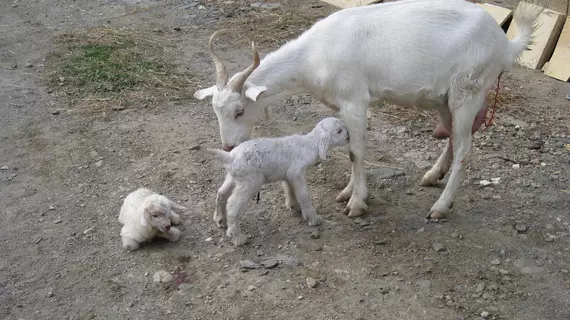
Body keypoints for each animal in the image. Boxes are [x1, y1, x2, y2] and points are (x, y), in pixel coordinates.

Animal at [194, 0, 540, 219]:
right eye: (215, 111)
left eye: (239, 111)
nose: (229, 146)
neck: (313, 56)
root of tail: (505, 43)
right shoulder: (341, 104)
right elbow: (350, 147)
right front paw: (348, 192)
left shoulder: (355, 99)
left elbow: (355, 152)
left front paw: (357, 203)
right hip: (444, 98)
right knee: (455, 136)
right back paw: (432, 175)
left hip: (468, 90)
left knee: (466, 148)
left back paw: (441, 207)